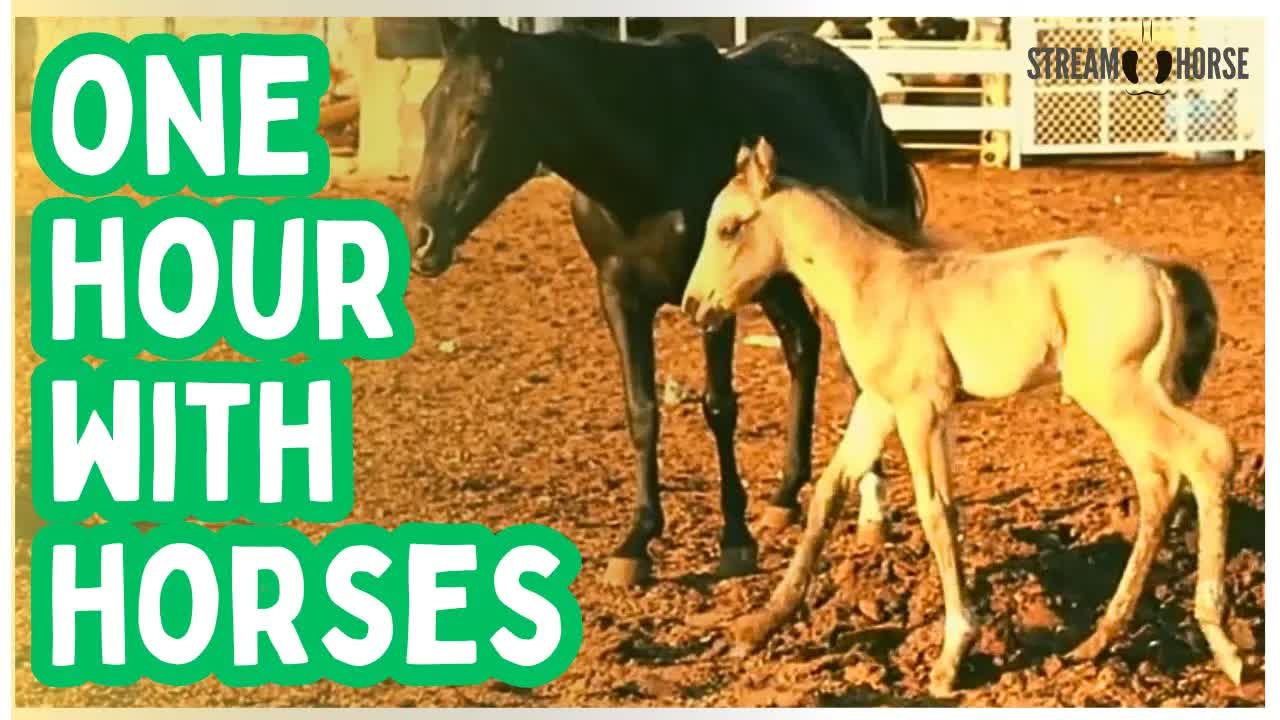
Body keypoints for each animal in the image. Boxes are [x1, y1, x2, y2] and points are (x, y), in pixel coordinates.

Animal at [404, 18, 924, 586]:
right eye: (426, 110)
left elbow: (718, 407)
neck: (649, 157)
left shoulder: (713, 300)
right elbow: (641, 411)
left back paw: (873, 512)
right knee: (802, 346)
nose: (423, 239)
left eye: (476, 113)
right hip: (775, 280)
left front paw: (734, 539)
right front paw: (637, 541)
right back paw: (785, 496)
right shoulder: (619, 296)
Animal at [681, 138, 1240, 696]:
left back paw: (1223, 643)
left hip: (1116, 392)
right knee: (1159, 485)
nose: (693, 306)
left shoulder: (921, 408)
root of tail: (1159, 271)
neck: (874, 282)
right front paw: (760, 625)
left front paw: (952, 656)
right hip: (1128, 400)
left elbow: (937, 512)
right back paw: (1097, 640)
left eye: (728, 227)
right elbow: (828, 494)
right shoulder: (877, 404)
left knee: (1208, 453)